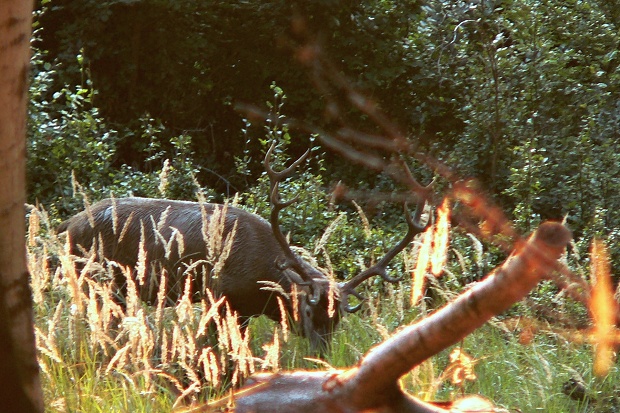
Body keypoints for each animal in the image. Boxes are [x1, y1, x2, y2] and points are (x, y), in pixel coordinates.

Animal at [55, 142, 428, 350]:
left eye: (337, 321)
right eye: (307, 311)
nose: (322, 354)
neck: (262, 277)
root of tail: (67, 225)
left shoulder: (243, 311)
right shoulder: (217, 295)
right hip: (95, 279)